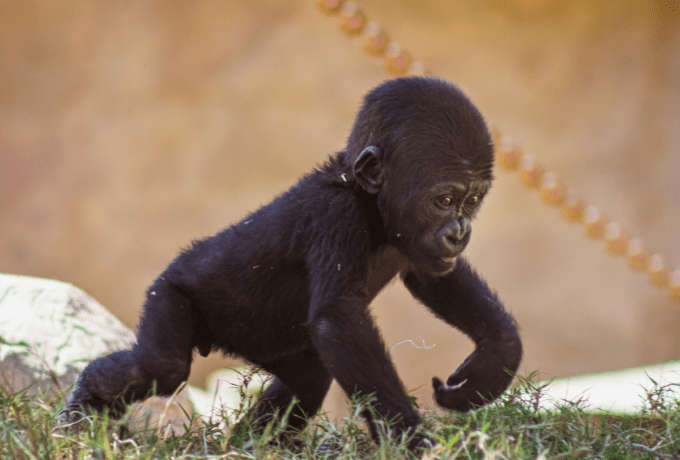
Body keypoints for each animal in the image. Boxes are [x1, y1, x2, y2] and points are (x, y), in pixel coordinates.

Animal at [63, 77, 520, 452]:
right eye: (444, 200)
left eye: (472, 201)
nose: (460, 231)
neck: (369, 200)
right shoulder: (336, 215)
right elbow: (339, 318)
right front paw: (412, 440)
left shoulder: (423, 254)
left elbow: (433, 280)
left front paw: (497, 356)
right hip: (171, 291)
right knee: (161, 366)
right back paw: (83, 406)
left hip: (271, 341)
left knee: (307, 378)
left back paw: (251, 443)